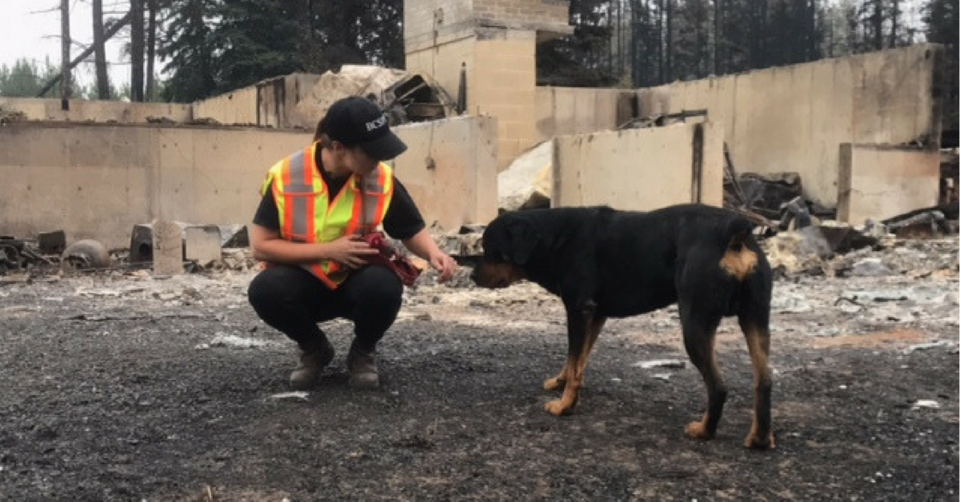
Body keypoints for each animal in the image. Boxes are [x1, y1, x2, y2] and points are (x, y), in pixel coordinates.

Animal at [472, 204, 780, 452]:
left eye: (490, 248)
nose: (472, 275)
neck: (555, 238)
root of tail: (733, 232)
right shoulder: (595, 314)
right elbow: (576, 361)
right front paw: (561, 383)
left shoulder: (579, 309)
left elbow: (574, 357)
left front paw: (564, 405)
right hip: (756, 319)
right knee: (764, 380)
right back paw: (760, 438)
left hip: (696, 323)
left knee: (718, 386)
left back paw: (704, 431)